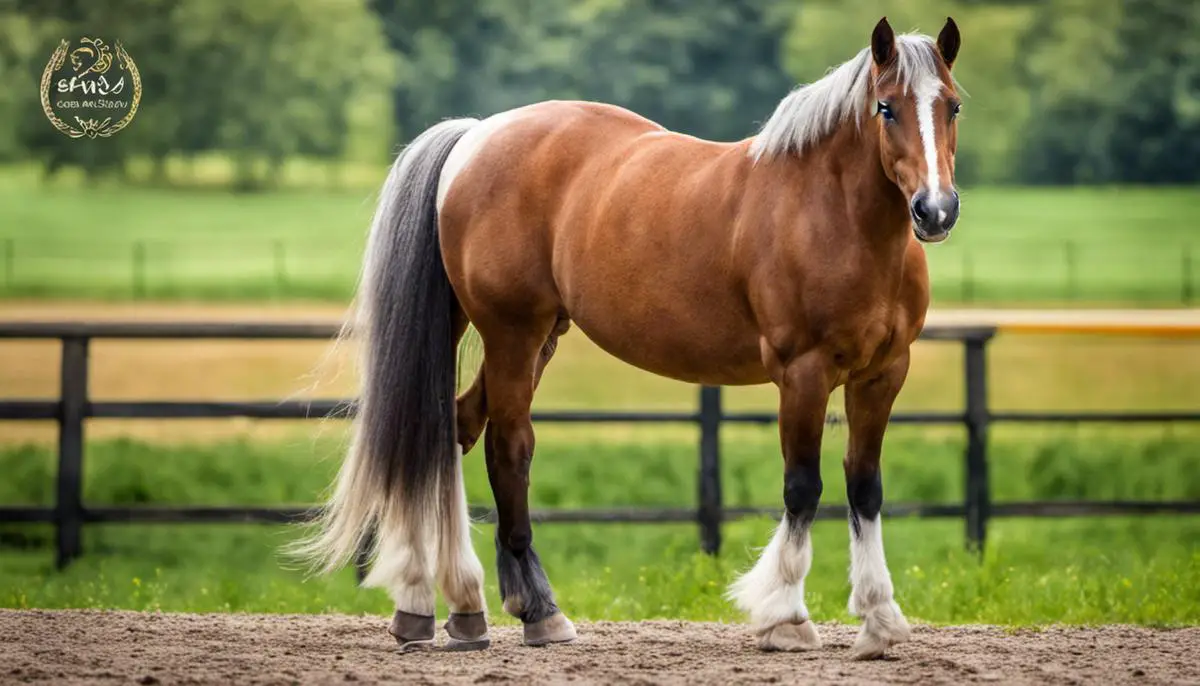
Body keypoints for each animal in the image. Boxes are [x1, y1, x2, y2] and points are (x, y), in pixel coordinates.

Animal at [302, 14, 964, 657]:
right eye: (886, 107)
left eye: (953, 106)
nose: (935, 210)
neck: (832, 215)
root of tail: (476, 136)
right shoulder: (803, 373)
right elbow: (803, 488)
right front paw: (785, 618)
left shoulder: (882, 374)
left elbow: (864, 487)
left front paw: (879, 619)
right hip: (511, 332)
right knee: (503, 448)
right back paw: (531, 611)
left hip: (537, 336)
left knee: (457, 429)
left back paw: (453, 608)